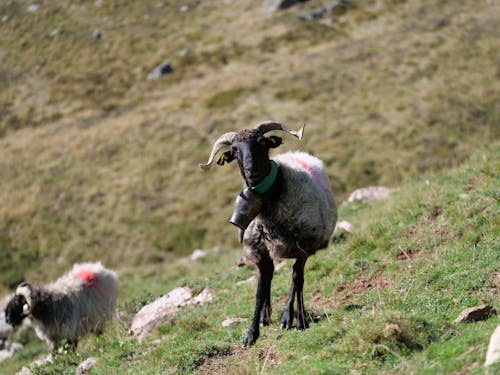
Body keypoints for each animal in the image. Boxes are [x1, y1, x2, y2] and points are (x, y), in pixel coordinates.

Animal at [198, 122, 336, 348]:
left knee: (295, 278)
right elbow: (260, 291)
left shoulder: (303, 246)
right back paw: (266, 317)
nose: (250, 171)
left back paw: (288, 318)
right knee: (270, 276)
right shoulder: (259, 251)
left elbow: (298, 280)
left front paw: (300, 321)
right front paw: (251, 334)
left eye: (261, 142)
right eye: (234, 151)